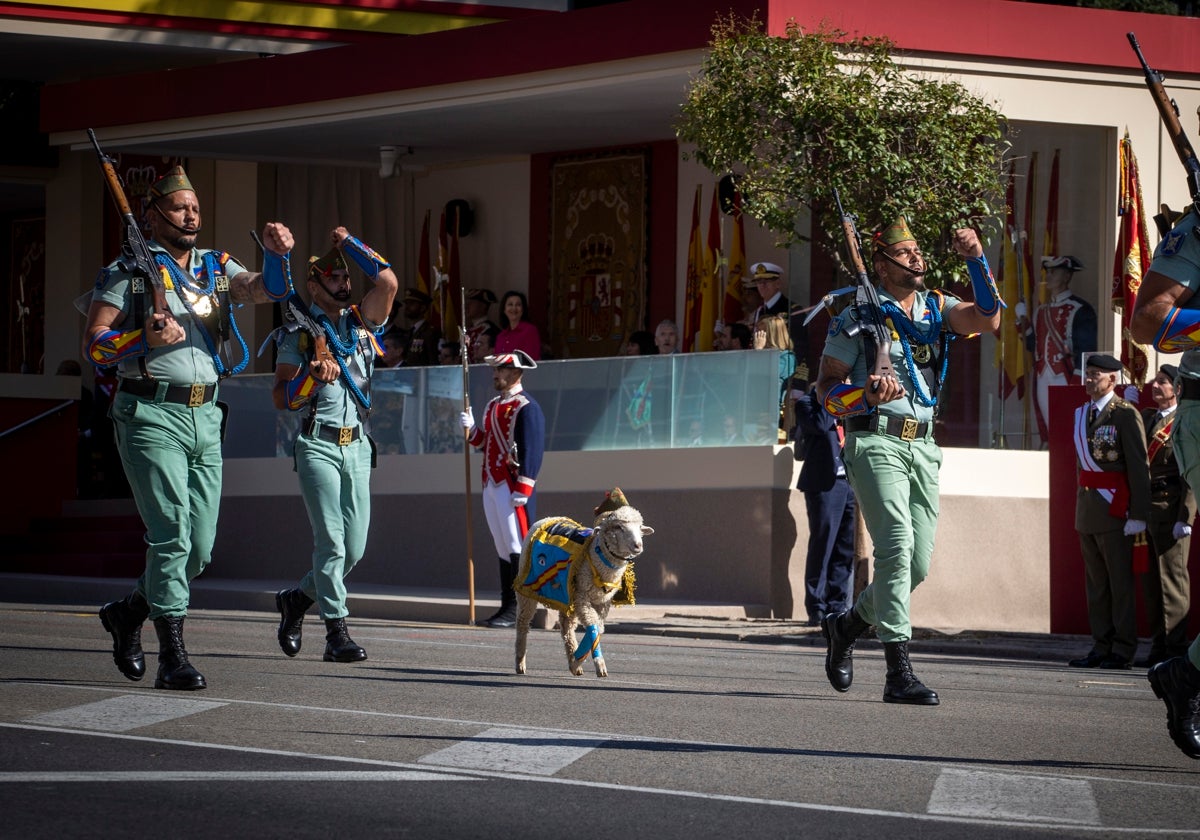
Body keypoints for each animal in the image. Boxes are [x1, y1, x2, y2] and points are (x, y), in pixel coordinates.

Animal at [511, 489, 652, 681]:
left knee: (566, 626)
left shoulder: (602, 602)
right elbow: (593, 625)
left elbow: (598, 627)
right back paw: (520, 662)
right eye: (618, 527)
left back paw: (573, 659)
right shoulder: (582, 597)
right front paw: (598, 665)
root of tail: (547, 518)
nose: (638, 545)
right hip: (527, 590)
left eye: (640, 528)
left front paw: (577, 661)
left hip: (566, 593)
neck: (597, 557)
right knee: (523, 623)